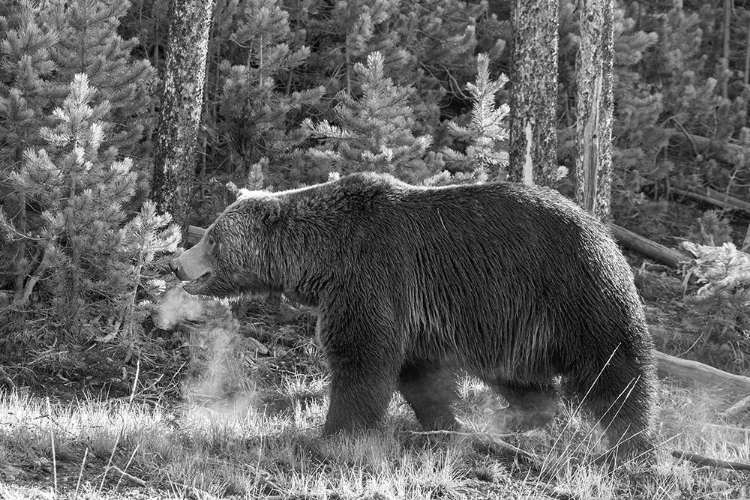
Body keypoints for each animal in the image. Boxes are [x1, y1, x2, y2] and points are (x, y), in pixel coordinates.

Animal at [170, 172, 656, 458]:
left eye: (212, 237)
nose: (177, 263)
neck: (323, 261)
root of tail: (606, 233)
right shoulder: (414, 311)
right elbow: (417, 373)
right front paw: (446, 427)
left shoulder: (374, 274)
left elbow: (362, 358)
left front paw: (335, 436)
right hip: (513, 325)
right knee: (519, 376)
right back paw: (519, 417)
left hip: (575, 294)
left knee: (615, 369)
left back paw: (631, 444)